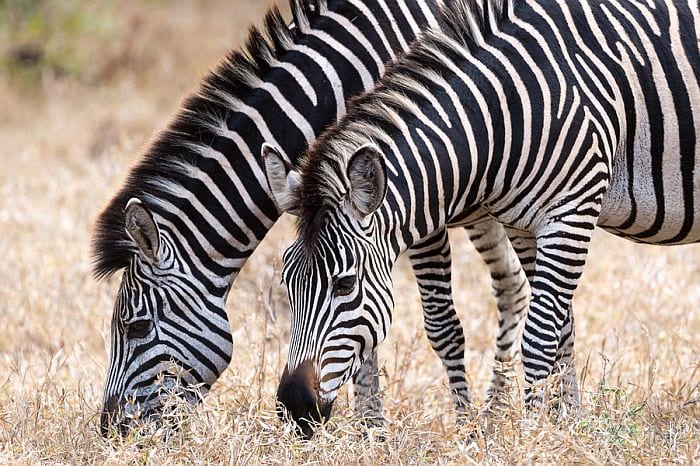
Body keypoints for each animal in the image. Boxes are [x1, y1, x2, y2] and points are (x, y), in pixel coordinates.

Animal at [94, 0, 532, 436]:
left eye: (136, 327)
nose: (112, 431)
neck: (339, 81)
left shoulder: (418, 199)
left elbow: (439, 324)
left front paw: (461, 429)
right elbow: (362, 335)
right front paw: (369, 429)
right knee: (512, 284)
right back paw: (497, 408)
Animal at [266, 0, 696, 432]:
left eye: (345, 283)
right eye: (287, 282)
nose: (293, 405)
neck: (505, 114)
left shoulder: (572, 211)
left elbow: (540, 335)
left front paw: (531, 430)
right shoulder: (522, 224)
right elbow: (563, 326)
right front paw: (566, 420)